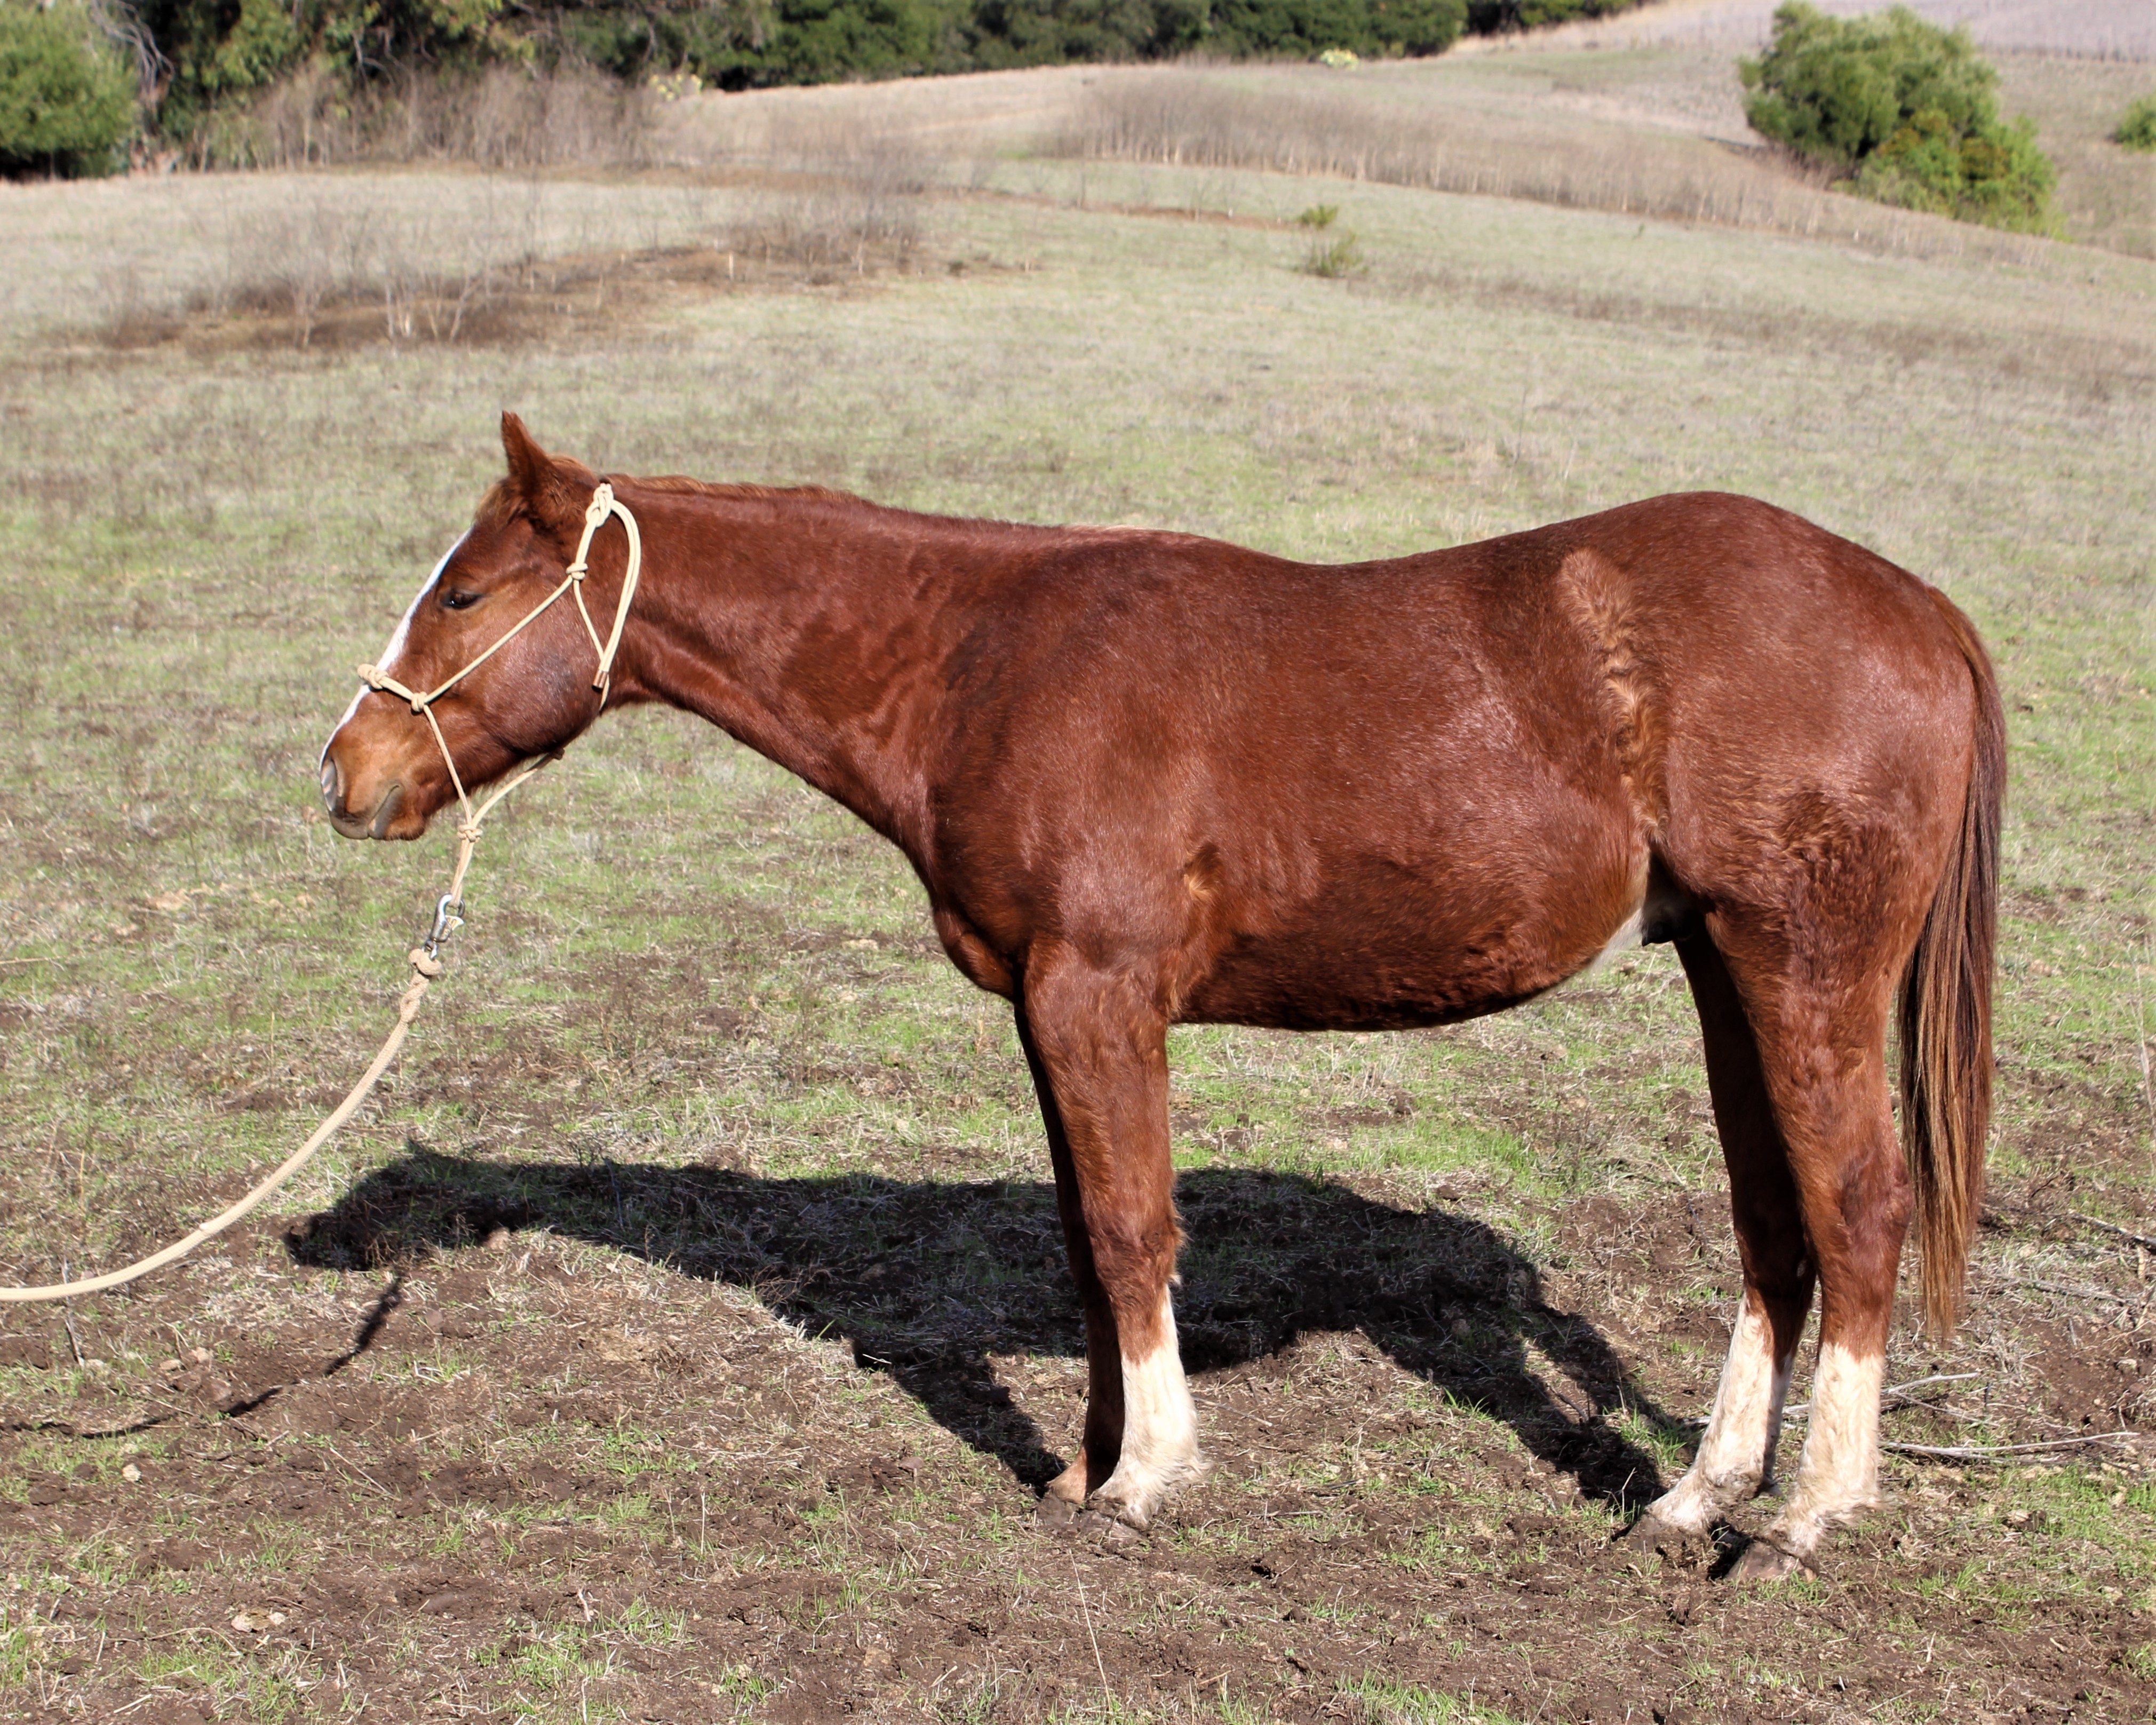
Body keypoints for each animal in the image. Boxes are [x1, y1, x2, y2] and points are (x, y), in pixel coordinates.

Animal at [320, 414, 2000, 1579]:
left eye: (464, 593)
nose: (348, 773)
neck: (975, 660)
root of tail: (1914, 603)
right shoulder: (1043, 1008)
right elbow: (1082, 1240)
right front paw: (1081, 1464)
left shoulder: (1097, 996)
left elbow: (1133, 1231)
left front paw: (1143, 1482)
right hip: (1728, 967)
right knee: (1775, 1232)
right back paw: (1694, 1498)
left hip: (1802, 967)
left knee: (1857, 1213)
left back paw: (1800, 1522)